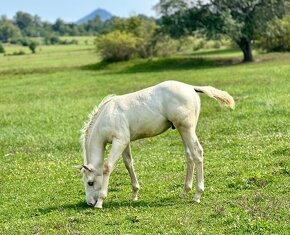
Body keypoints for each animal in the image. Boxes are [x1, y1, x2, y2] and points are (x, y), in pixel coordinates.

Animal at [78, 80, 234, 207]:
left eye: (90, 182)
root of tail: (191, 87)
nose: (90, 203)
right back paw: (185, 191)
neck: (108, 115)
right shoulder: (124, 142)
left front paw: (101, 201)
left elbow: (107, 167)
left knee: (197, 153)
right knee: (190, 155)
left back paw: (197, 195)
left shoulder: (119, 141)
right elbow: (128, 164)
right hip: (182, 129)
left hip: (187, 128)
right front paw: (134, 194)